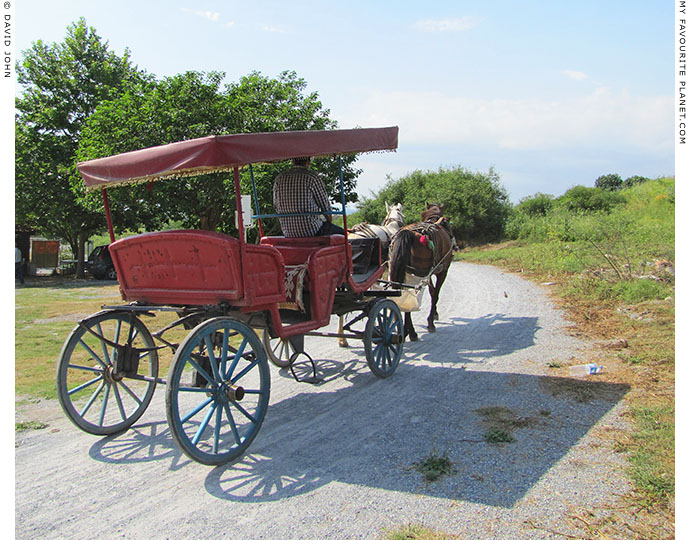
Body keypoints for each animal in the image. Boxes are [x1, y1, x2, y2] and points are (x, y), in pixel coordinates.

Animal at [390, 202, 454, 342]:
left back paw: (406, 330)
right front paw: (431, 321)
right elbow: (435, 294)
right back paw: (411, 332)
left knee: (403, 296)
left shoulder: (428, 274)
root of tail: (409, 233)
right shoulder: (442, 271)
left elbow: (432, 291)